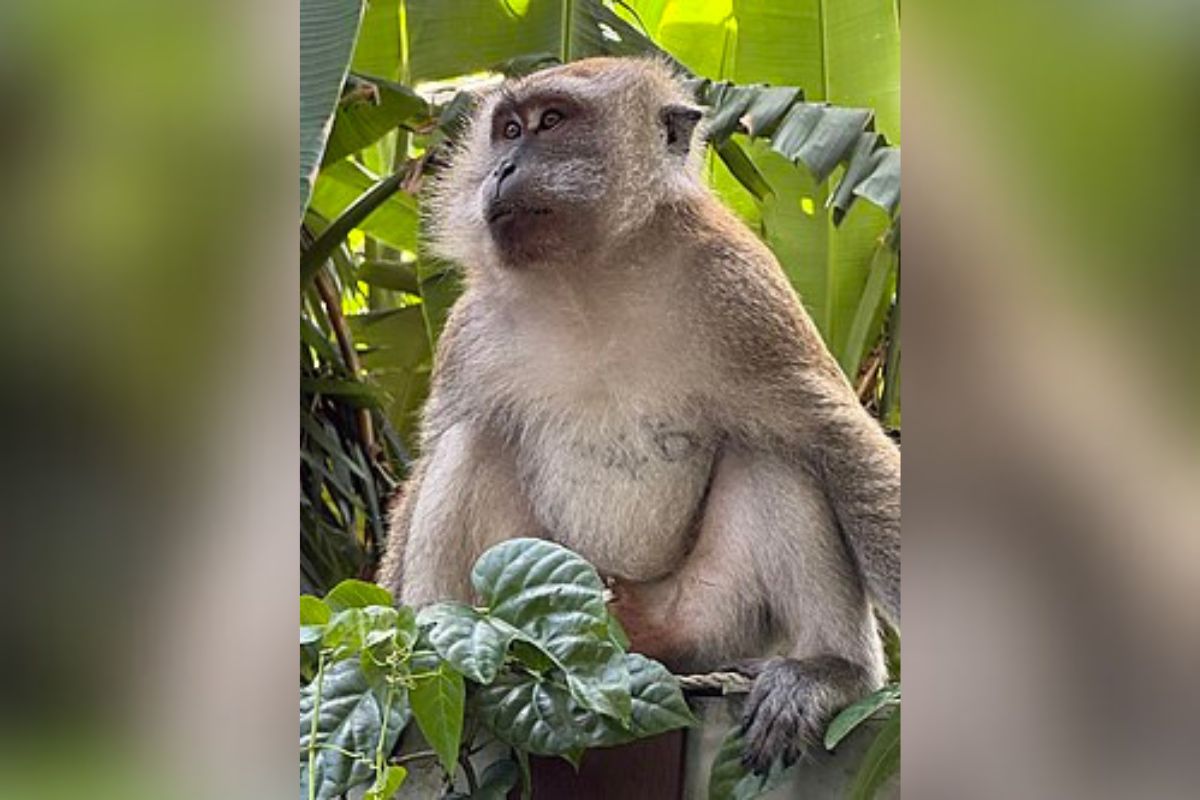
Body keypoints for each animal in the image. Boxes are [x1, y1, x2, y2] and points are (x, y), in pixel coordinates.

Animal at [377, 57, 900, 773]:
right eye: (507, 129)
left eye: (551, 122)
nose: (501, 168)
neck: (588, 278)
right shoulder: (472, 329)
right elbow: (432, 456)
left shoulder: (741, 290)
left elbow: (835, 438)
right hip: (542, 600)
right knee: (472, 440)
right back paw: (439, 660)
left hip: (706, 622)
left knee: (776, 453)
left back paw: (828, 669)